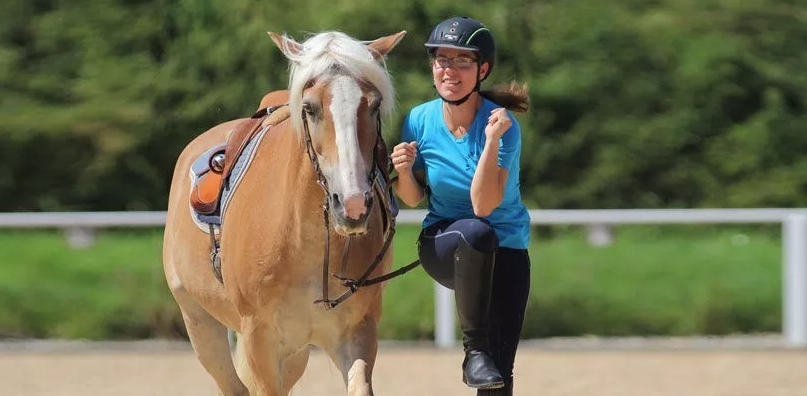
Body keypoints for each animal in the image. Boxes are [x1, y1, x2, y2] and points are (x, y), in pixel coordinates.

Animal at [162, 28, 408, 396]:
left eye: (375, 105)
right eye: (310, 108)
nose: (353, 205)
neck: (303, 239)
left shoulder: (358, 333)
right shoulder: (260, 342)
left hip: (295, 354)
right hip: (200, 324)